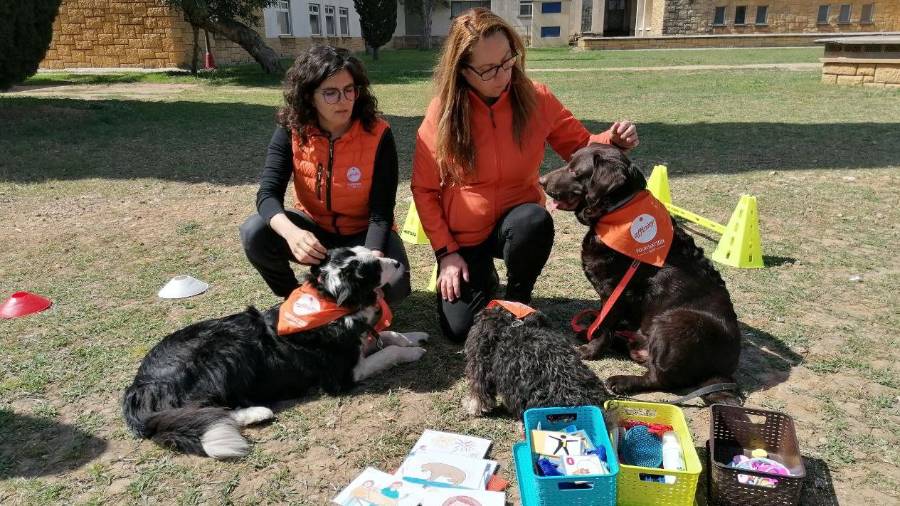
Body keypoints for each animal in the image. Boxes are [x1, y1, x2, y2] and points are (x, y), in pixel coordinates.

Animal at [123, 247, 428, 460]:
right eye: (374, 267)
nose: (398, 263)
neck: (332, 303)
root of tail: (139, 387)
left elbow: (390, 336)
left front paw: (414, 337)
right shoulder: (343, 376)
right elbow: (388, 352)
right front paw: (414, 352)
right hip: (223, 352)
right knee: (204, 409)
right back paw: (257, 412)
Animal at [540, 144, 740, 406]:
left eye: (575, 170)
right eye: (568, 162)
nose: (541, 181)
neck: (618, 210)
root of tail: (723, 372)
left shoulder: (618, 291)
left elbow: (605, 324)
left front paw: (590, 351)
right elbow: (603, 321)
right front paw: (591, 332)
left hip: (677, 321)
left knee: (661, 378)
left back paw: (622, 381)